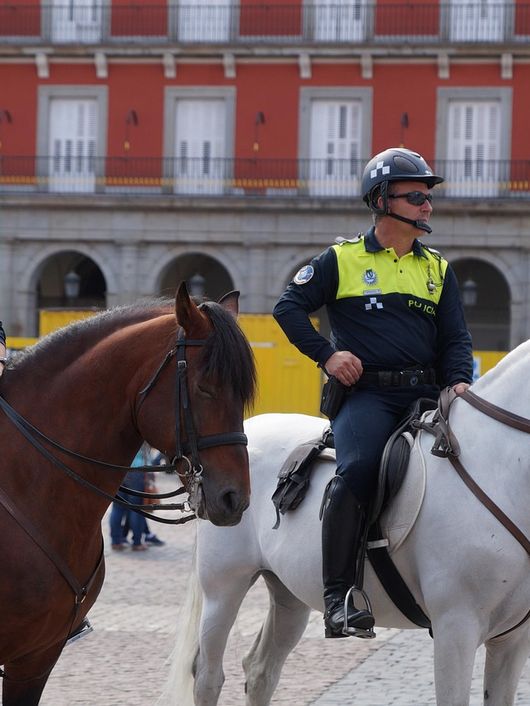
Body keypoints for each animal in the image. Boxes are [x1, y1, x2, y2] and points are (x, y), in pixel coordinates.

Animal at [163, 340, 530, 706]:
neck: (495, 466)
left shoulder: (511, 640)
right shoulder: (455, 628)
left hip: (288, 593)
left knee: (260, 671)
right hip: (224, 587)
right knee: (208, 677)